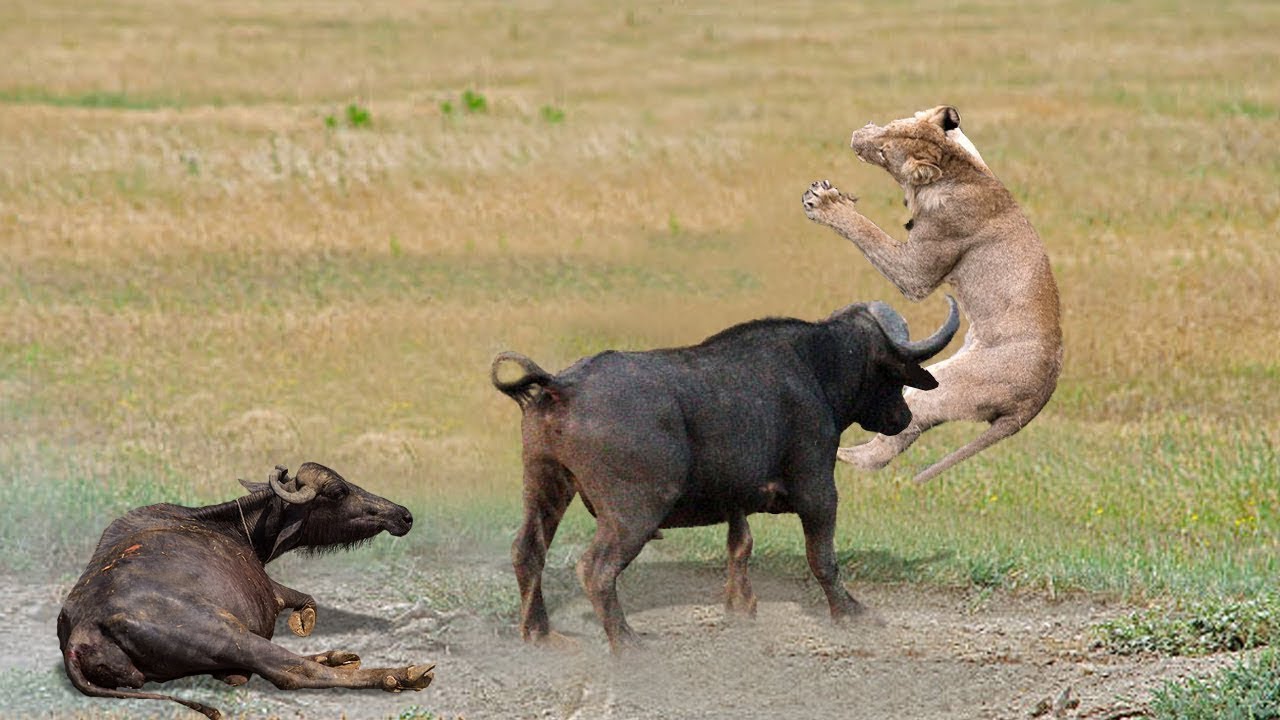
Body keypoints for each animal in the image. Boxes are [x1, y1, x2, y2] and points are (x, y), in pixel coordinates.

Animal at [58, 463, 432, 719]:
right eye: (339, 492)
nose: (403, 515)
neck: (237, 529)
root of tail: (82, 630)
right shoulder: (269, 589)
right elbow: (302, 600)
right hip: (227, 633)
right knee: (291, 670)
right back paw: (402, 675)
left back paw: (340, 657)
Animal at [492, 297, 959, 651]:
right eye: (891, 374)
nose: (904, 417)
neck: (815, 367)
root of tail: (560, 386)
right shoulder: (818, 489)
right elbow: (822, 558)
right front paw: (850, 613)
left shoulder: (735, 499)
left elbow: (740, 547)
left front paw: (741, 608)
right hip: (633, 513)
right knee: (596, 569)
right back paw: (627, 642)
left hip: (545, 486)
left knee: (526, 552)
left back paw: (539, 634)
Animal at [802, 105, 1062, 483]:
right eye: (891, 125)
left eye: (884, 152)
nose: (856, 136)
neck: (958, 169)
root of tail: (1038, 400)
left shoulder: (916, 274)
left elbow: (869, 232)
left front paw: (825, 203)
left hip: (942, 388)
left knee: (886, 447)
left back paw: (839, 454)